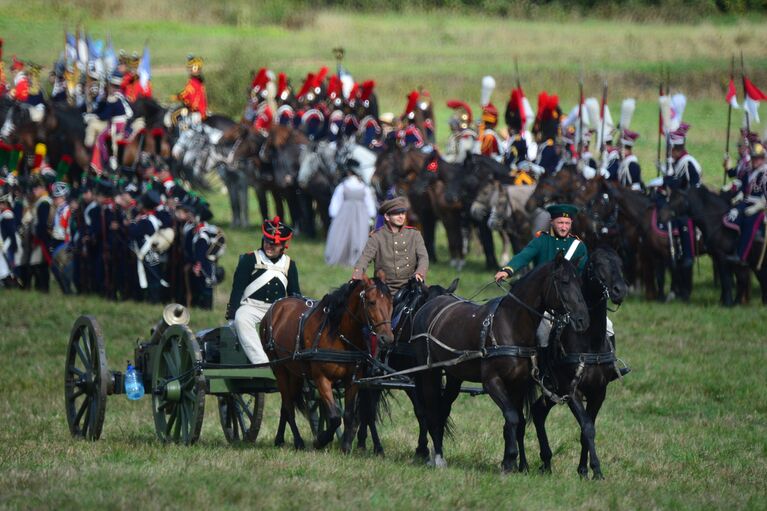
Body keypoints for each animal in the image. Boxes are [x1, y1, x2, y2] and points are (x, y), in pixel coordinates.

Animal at [262, 276, 396, 452]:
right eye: (372, 302)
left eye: (391, 302)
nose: (387, 339)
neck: (338, 334)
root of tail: (277, 305)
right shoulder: (322, 379)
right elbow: (334, 417)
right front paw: (320, 440)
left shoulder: (352, 380)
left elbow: (348, 414)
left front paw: (345, 446)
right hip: (278, 368)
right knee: (289, 405)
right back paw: (298, 441)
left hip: (295, 372)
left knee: (286, 403)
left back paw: (279, 439)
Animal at [414, 254, 588, 474]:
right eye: (564, 282)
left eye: (580, 282)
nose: (582, 320)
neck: (511, 325)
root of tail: (428, 306)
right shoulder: (492, 382)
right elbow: (512, 417)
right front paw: (509, 461)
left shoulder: (518, 384)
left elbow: (515, 420)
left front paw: (512, 462)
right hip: (430, 372)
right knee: (432, 410)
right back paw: (437, 457)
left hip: (454, 375)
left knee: (443, 409)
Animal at [536, 247, 632, 480]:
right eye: (596, 265)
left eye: (620, 263)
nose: (620, 291)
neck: (589, 342)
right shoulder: (572, 392)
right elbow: (587, 428)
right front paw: (596, 470)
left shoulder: (598, 392)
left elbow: (586, 429)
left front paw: (583, 470)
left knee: (537, 413)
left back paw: (546, 462)